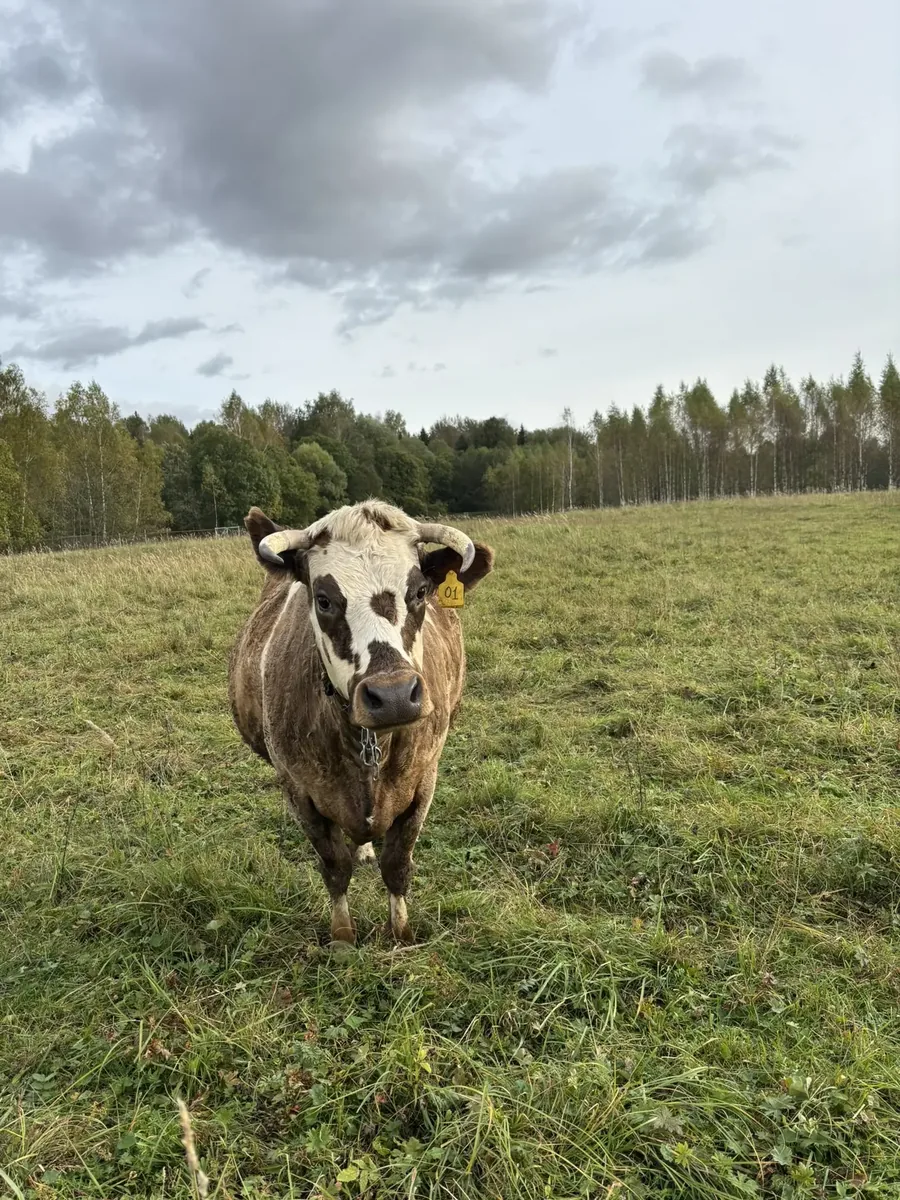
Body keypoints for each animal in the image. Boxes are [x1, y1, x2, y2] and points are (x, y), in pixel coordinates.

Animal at [228, 499, 494, 945]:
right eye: (323, 600)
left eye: (420, 592)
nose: (393, 696)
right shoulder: (299, 790)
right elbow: (335, 866)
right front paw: (343, 936)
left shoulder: (424, 781)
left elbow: (397, 864)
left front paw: (401, 932)